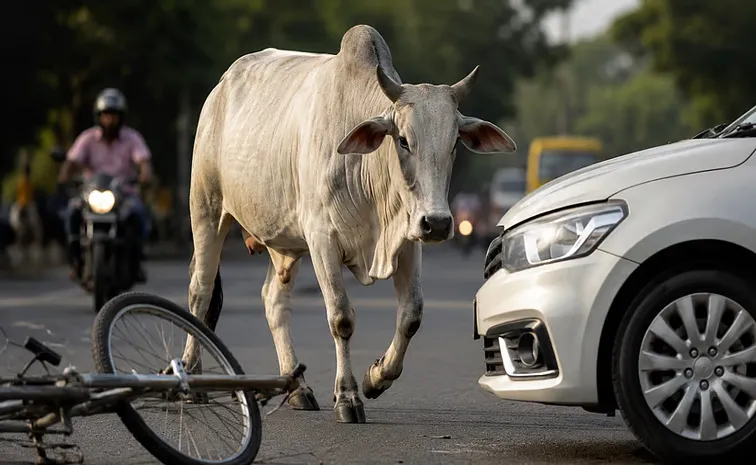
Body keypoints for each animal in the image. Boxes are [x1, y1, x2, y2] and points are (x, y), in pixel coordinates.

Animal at [184, 24, 516, 423]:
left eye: (454, 143)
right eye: (403, 140)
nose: (437, 223)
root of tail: (221, 87)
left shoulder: (407, 240)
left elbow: (412, 314)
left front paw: (377, 377)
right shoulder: (322, 240)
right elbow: (341, 318)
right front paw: (347, 396)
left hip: (285, 245)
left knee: (273, 301)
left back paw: (298, 388)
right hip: (207, 209)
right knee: (200, 292)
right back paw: (191, 380)